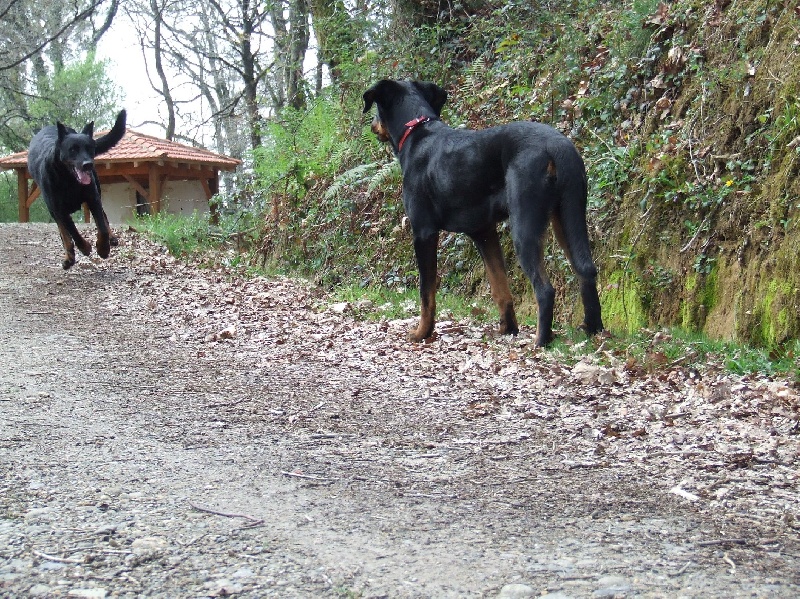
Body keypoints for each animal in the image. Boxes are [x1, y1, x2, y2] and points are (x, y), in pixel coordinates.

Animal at [26, 110, 126, 270]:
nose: (87, 164)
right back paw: (69, 257)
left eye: (90, 148)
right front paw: (85, 248)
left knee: (104, 218)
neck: (68, 180)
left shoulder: (93, 199)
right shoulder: (60, 210)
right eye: (73, 149)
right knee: (64, 233)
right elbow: (73, 233)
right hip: (53, 210)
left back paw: (111, 239)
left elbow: (102, 228)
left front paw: (103, 249)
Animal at [362, 79, 600, 346]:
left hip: (525, 225)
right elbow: (500, 287)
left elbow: (426, 292)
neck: (416, 132)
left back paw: (541, 341)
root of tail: (557, 147)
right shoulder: (483, 232)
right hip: (568, 217)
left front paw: (422, 333)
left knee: (545, 289)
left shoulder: (423, 232)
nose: (372, 125)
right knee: (586, 270)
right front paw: (508, 329)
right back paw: (593, 331)